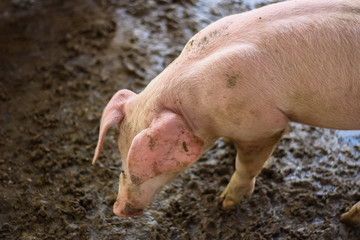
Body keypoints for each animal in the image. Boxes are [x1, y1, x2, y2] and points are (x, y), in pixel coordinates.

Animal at [92, 0, 360, 224]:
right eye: (120, 155)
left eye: (146, 168)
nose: (118, 209)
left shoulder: (264, 123)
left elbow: (246, 166)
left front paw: (223, 204)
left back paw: (347, 218)